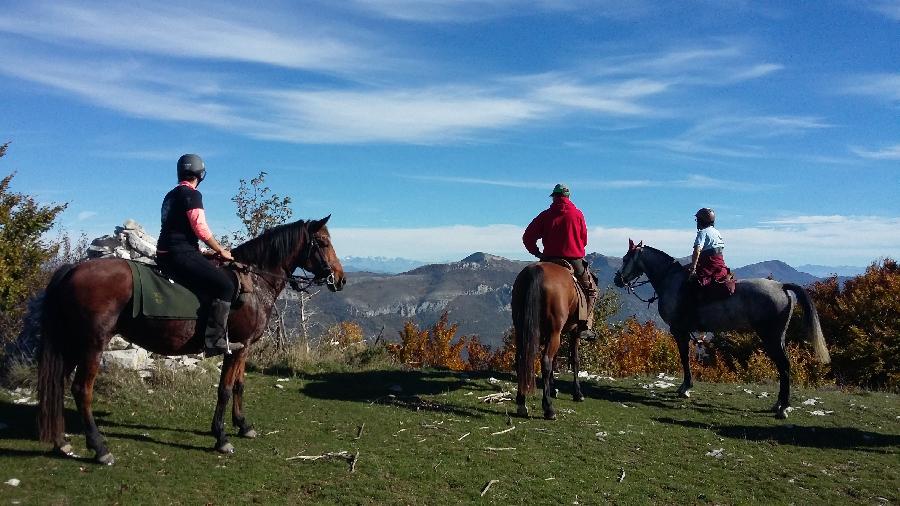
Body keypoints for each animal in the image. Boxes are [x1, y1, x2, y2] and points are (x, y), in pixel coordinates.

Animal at [37, 215, 344, 464]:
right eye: (323, 241)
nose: (340, 279)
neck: (255, 283)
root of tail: (72, 270)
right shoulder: (236, 347)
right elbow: (225, 389)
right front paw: (221, 437)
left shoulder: (243, 348)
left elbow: (240, 385)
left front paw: (243, 426)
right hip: (92, 345)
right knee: (81, 390)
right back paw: (99, 448)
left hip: (73, 345)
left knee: (60, 384)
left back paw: (62, 442)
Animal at [512, 260, 584, 420]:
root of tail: (535, 271)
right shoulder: (574, 331)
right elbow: (575, 359)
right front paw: (577, 393)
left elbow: (556, 360)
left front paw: (553, 388)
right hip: (554, 332)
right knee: (545, 362)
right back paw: (548, 408)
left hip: (521, 330)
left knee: (521, 360)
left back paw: (521, 403)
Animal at [612, 239, 828, 418]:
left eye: (625, 258)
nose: (617, 280)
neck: (670, 281)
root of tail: (782, 287)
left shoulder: (679, 331)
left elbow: (684, 358)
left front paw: (685, 388)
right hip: (778, 337)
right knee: (784, 366)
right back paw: (779, 404)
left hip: (771, 337)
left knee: (784, 365)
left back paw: (783, 407)